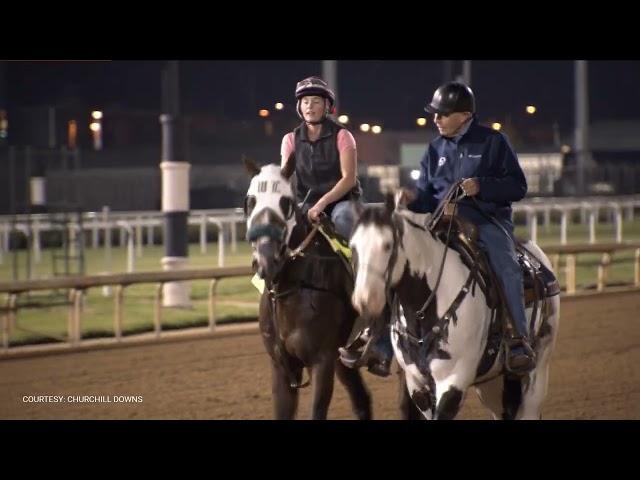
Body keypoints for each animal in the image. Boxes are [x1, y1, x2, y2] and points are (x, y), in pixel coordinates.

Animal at [242, 158, 372, 420]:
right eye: (250, 202)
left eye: (286, 202)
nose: (265, 260)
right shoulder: (282, 367)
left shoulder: (322, 360)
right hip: (344, 359)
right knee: (362, 401)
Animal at [350, 197, 560, 418]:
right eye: (353, 246)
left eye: (387, 245)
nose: (364, 299)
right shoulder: (416, 384)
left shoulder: (453, 381)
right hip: (491, 383)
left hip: (538, 367)